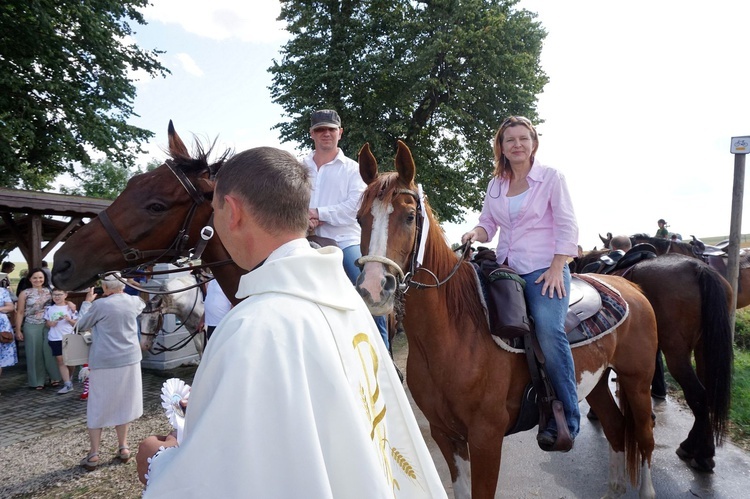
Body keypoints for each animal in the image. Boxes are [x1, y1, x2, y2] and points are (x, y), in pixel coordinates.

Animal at [356, 141, 656, 499]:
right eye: (359, 219)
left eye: (410, 216)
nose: (374, 289)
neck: (454, 334)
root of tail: (630, 286)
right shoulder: (446, 435)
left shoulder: (486, 438)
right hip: (596, 382)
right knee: (615, 427)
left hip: (637, 381)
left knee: (644, 437)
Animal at [576, 248, 736, 470]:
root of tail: (698, 268)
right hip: (704, 348)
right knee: (707, 394)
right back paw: (701, 449)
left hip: (676, 353)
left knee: (698, 394)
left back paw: (699, 452)